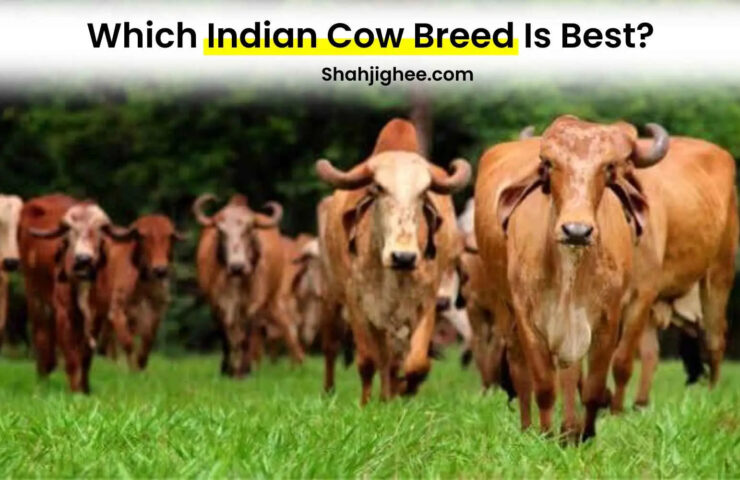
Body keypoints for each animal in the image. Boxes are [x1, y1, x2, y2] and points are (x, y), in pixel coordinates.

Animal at [26, 199, 133, 392]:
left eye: (99, 229)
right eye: (70, 230)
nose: (83, 259)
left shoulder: (97, 316)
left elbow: (85, 354)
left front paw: (85, 388)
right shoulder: (63, 313)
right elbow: (70, 355)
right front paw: (74, 390)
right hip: (36, 301)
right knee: (42, 338)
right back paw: (42, 380)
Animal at [95, 214, 182, 370]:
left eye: (169, 236)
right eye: (143, 236)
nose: (160, 270)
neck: (143, 284)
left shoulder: (155, 313)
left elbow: (147, 341)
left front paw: (141, 365)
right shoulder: (117, 312)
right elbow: (128, 343)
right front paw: (132, 370)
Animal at [194, 193, 304, 377]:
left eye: (249, 229)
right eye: (220, 231)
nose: (237, 266)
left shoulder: (252, 306)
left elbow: (246, 338)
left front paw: (243, 371)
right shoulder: (216, 305)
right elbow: (226, 337)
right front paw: (226, 369)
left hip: (272, 301)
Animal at [316, 118, 470, 404]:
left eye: (424, 193)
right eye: (378, 188)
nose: (404, 257)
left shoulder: (426, 301)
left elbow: (416, 364)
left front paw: (404, 391)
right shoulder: (357, 303)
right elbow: (367, 361)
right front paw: (366, 404)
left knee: (390, 359)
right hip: (331, 297)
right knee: (333, 349)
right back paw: (332, 392)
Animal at [475, 115, 669, 440]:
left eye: (608, 166)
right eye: (549, 163)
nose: (576, 230)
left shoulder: (608, 317)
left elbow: (590, 385)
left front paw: (583, 434)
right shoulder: (527, 316)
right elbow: (542, 384)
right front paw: (544, 435)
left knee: (570, 373)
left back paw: (568, 429)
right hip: (504, 309)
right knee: (519, 368)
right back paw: (529, 428)